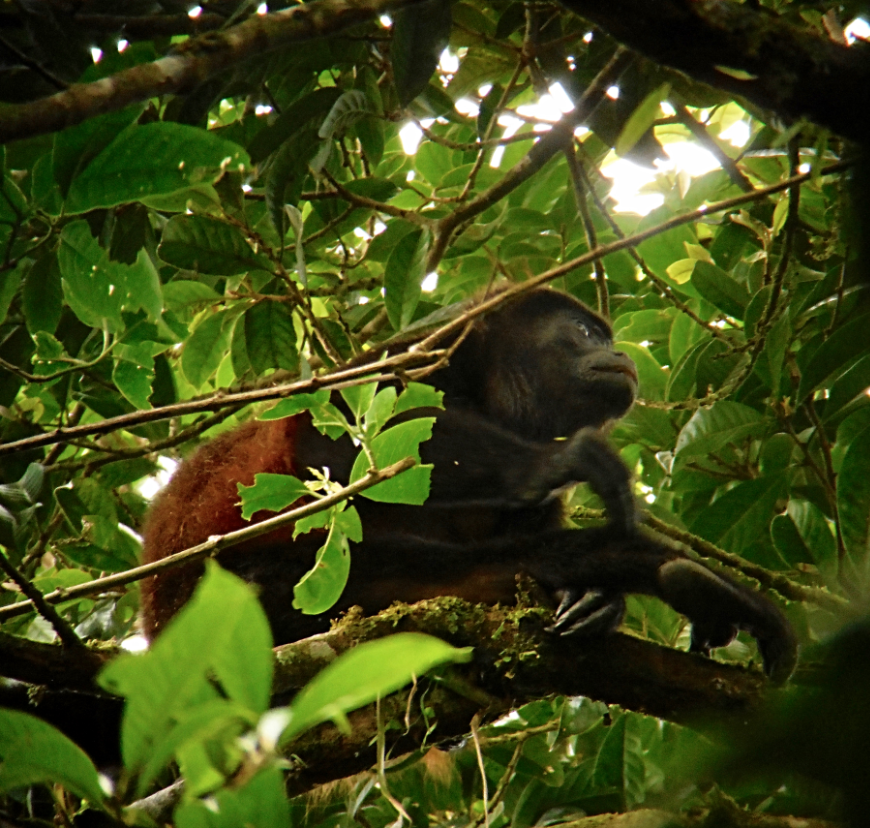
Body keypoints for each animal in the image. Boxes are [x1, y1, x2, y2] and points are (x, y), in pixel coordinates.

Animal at [140, 288, 798, 682]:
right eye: (585, 332)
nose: (622, 356)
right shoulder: (416, 354)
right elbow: (331, 441)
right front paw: (555, 464)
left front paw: (596, 603)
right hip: (250, 598)